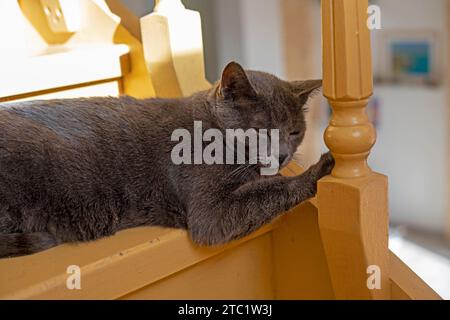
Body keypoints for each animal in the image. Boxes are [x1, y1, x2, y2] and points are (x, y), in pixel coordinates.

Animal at [0, 62, 330, 258]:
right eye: (261, 130)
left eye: (295, 131)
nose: (283, 154)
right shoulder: (210, 213)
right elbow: (272, 190)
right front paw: (319, 168)